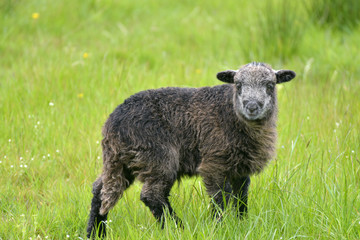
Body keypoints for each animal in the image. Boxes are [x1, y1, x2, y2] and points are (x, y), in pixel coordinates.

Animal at [86, 62, 296, 238]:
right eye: (238, 85)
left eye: (270, 85)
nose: (252, 106)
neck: (231, 114)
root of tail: (113, 123)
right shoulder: (214, 163)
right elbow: (221, 198)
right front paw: (220, 227)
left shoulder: (240, 167)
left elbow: (241, 198)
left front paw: (241, 224)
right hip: (156, 156)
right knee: (151, 195)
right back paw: (177, 228)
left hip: (124, 161)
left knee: (100, 189)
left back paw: (95, 233)